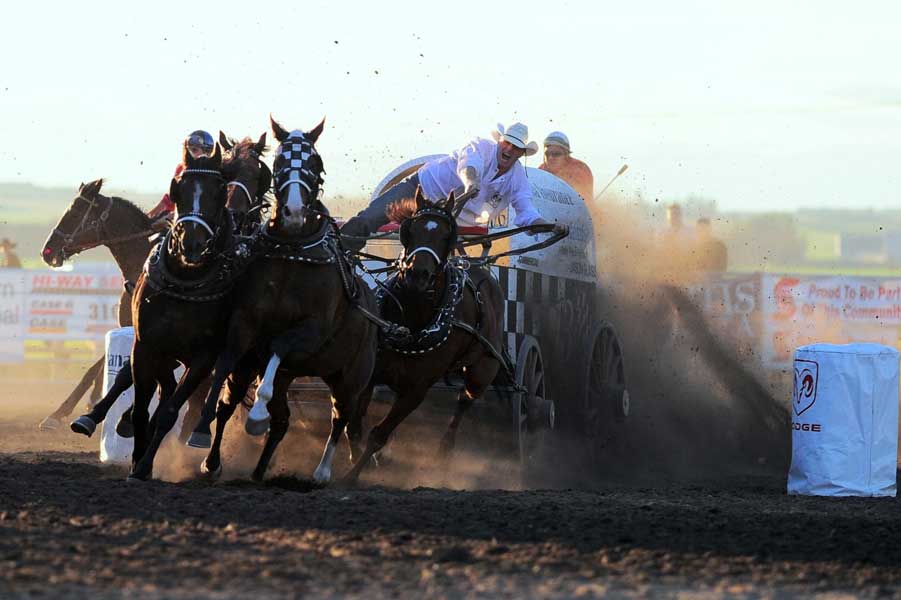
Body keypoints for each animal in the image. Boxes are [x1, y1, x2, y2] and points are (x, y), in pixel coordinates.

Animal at [69, 137, 270, 440]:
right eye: (227, 170)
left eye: (258, 175)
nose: (49, 250)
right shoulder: (145, 335)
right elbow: (126, 372)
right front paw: (96, 415)